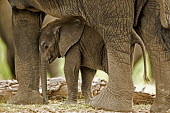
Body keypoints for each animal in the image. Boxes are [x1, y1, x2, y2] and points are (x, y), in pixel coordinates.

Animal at [7, 0, 170, 112]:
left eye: (46, 46)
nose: (46, 102)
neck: (62, 23)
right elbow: (87, 71)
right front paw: (86, 102)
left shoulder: (74, 44)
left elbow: (70, 68)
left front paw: (69, 104)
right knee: (153, 37)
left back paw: (105, 105)